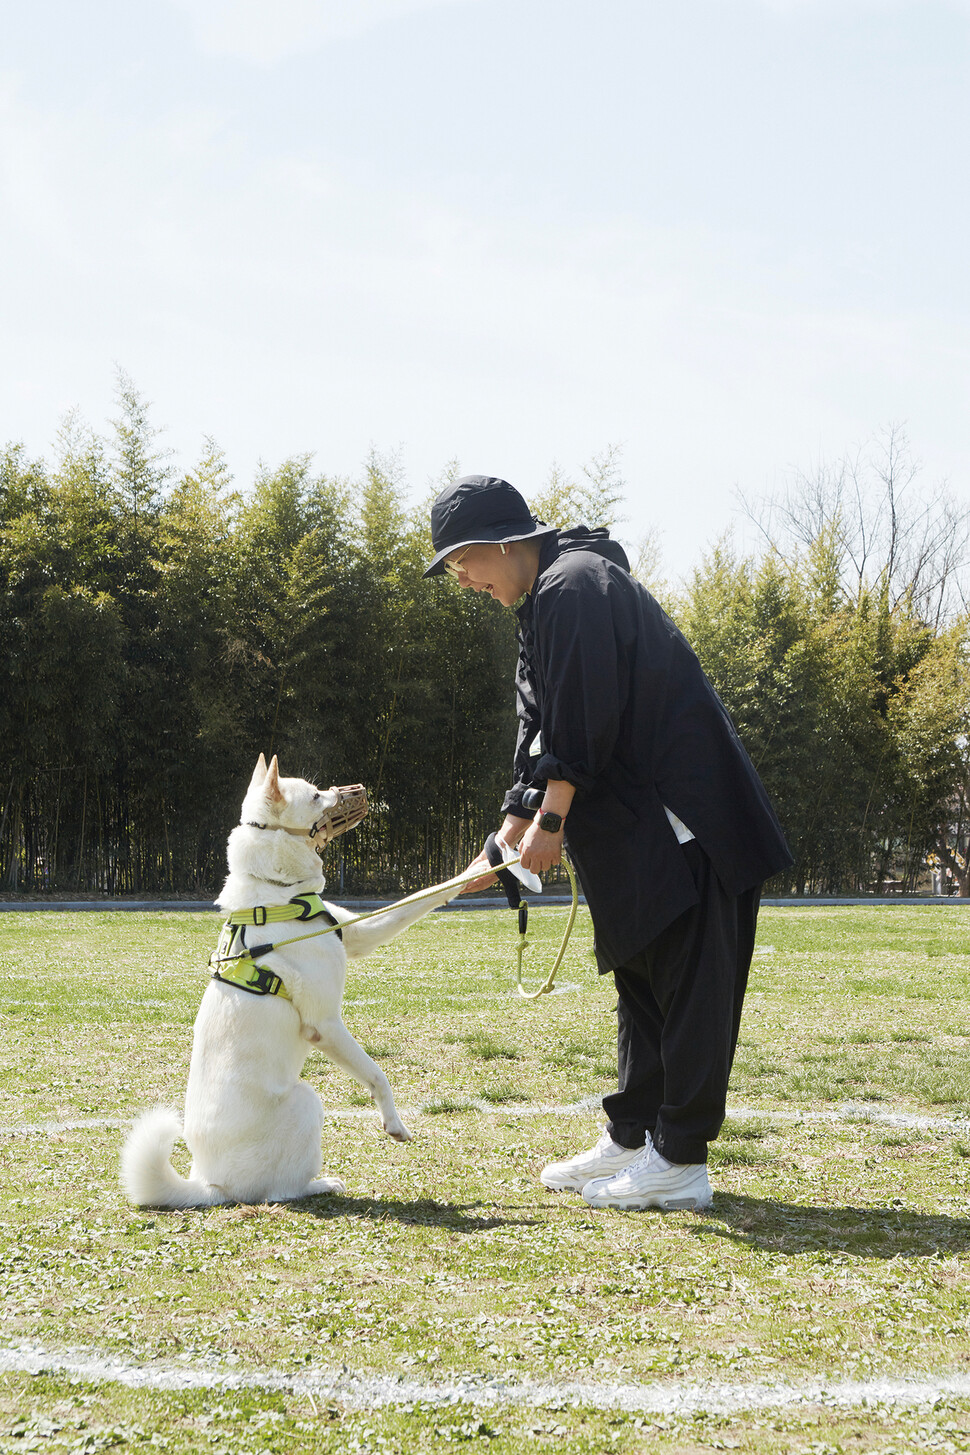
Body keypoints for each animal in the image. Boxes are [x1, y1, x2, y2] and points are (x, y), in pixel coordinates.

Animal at [121, 756, 462, 1210]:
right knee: (280, 1191)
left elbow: (427, 896)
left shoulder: (355, 933)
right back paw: (322, 1184)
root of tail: (209, 1183)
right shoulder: (326, 1024)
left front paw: (491, 862)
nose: (361, 789)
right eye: (316, 796)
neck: (278, 895)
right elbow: (378, 1075)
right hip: (306, 1100)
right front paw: (394, 1124)